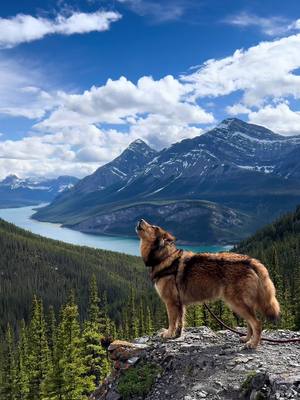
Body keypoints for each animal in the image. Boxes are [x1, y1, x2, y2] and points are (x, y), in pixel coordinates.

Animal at [137, 220, 282, 348]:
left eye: (154, 227)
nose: (140, 220)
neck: (164, 257)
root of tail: (250, 261)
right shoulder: (180, 304)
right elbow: (180, 323)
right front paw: (177, 335)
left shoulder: (171, 302)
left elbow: (172, 322)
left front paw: (168, 334)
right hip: (240, 305)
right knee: (250, 323)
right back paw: (246, 339)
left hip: (236, 303)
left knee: (257, 323)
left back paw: (252, 344)